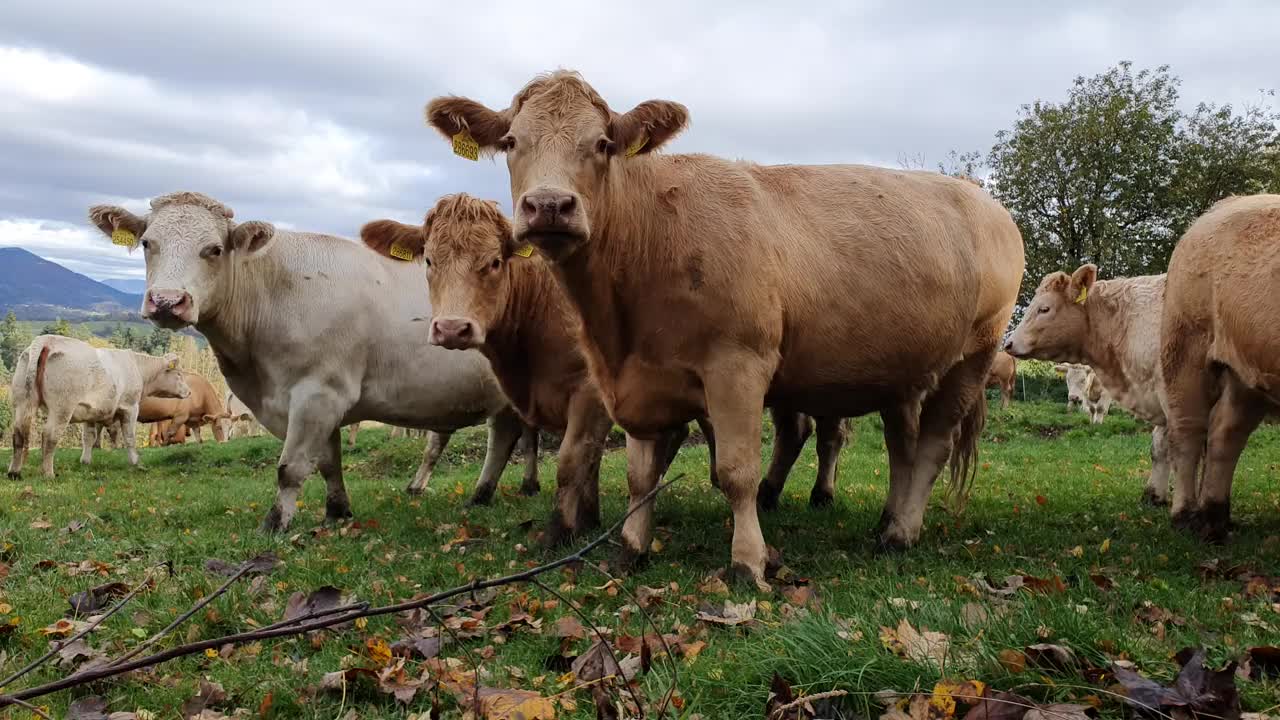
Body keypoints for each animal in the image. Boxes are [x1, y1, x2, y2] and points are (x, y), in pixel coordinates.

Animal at [6, 335, 190, 476]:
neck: (137, 367)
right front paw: (136, 462)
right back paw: (48, 473)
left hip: (22, 402)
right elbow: (129, 437)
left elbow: (89, 437)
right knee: (50, 436)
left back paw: (14, 472)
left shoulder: (89, 411)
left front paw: (85, 461)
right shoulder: (130, 406)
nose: (189, 392)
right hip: (62, 407)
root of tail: (46, 340)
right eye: (179, 374)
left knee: (18, 434)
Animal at [88, 189, 529, 527]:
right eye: (148, 243)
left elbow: (292, 468)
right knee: (505, 438)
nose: (167, 301)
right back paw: (482, 493)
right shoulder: (321, 400)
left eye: (213, 249)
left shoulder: (318, 392)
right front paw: (337, 512)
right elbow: (329, 462)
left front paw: (275, 524)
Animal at [424, 70, 1024, 584]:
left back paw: (901, 533)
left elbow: (737, 470)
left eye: (602, 144)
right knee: (903, 446)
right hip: (902, 372)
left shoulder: (738, 366)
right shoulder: (637, 382)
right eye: (511, 141)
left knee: (933, 446)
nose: (549, 205)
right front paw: (633, 549)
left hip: (974, 353)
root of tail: (980, 197)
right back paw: (887, 521)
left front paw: (748, 561)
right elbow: (640, 475)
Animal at [1162, 193, 1280, 535]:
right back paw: (1185, 514)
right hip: (1185, 346)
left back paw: (1215, 517)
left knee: (1225, 432)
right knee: (1188, 431)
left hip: (1248, 373)